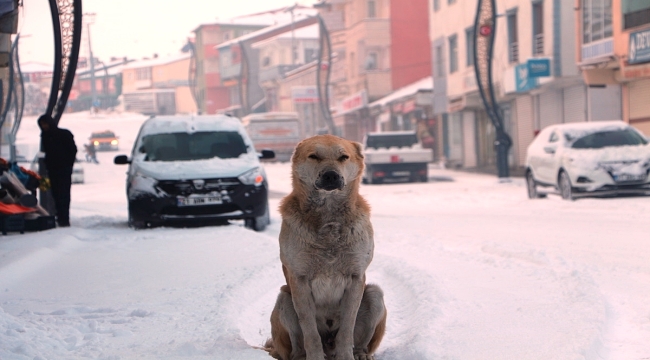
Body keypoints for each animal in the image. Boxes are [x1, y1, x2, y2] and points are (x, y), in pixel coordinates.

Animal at [264, 134, 384, 360]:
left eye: (343, 157)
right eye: (314, 156)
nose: (330, 175)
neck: (328, 217)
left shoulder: (356, 278)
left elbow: (346, 329)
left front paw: (346, 356)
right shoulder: (299, 280)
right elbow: (310, 331)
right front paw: (314, 357)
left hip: (375, 294)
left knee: (360, 341)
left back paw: (360, 354)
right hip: (284, 299)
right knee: (296, 348)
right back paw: (302, 357)